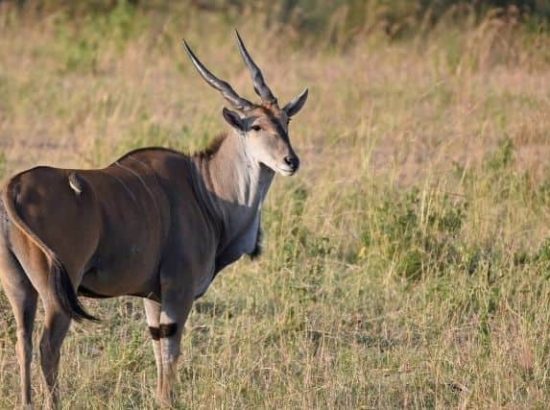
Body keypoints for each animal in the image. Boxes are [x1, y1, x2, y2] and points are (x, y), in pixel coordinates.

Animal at [0, 30, 310, 408]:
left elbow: (158, 345)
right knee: (48, 346)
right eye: (256, 126)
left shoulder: (152, 294)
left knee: (23, 341)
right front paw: (167, 399)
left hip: (19, 286)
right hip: (58, 290)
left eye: (286, 121)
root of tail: (14, 186)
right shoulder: (178, 288)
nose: (290, 161)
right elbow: (171, 347)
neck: (204, 188)